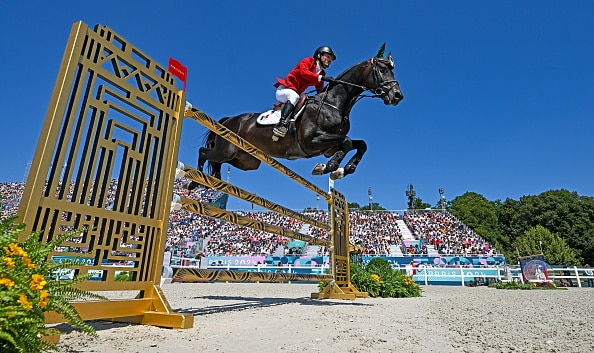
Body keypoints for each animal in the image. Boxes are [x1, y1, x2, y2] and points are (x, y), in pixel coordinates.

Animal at [190, 44, 402, 184]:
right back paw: (195, 180)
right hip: (227, 149)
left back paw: (213, 180)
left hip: (245, 160)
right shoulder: (311, 141)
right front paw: (330, 168)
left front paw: (342, 170)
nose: (398, 96)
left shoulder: (328, 147)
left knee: (216, 161)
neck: (335, 104)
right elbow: (348, 141)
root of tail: (229, 120)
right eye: (382, 70)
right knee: (204, 152)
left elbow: (359, 144)